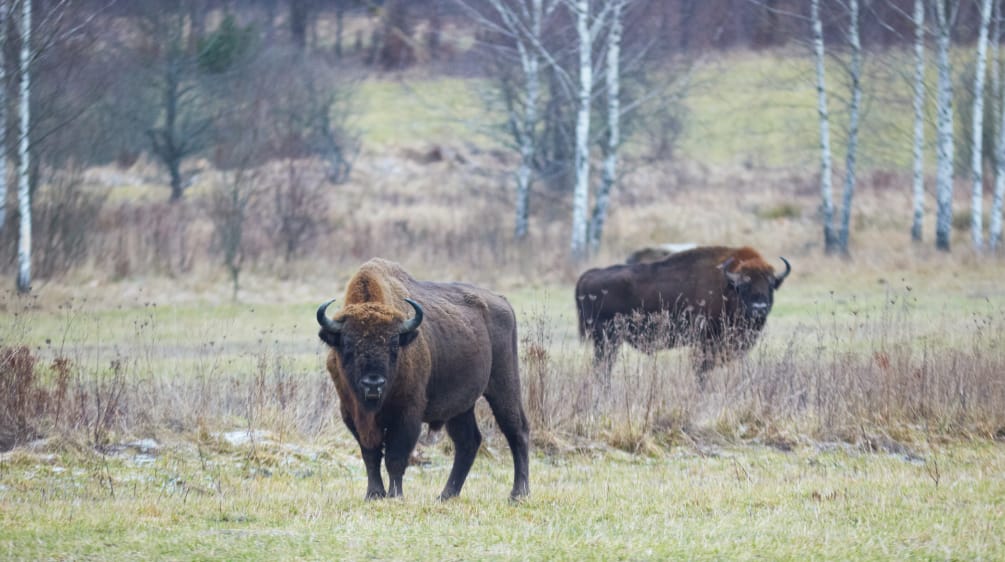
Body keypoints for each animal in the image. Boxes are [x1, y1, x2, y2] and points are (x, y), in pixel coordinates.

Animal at [317, 259, 530, 500]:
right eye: (348, 344)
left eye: (394, 344)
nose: (373, 384)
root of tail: (503, 303)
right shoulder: (352, 414)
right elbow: (370, 455)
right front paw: (374, 494)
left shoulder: (408, 414)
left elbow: (395, 457)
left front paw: (395, 495)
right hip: (459, 408)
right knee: (468, 442)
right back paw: (446, 495)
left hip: (504, 386)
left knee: (517, 431)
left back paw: (518, 493)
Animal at [578, 246, 787, 386]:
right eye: (744, 286)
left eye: (770, 286)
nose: (759, 307)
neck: (727, 285)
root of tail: (587, 276)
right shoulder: (706, 342)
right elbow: (701, 369)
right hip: (607, 339)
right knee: (602, 366)